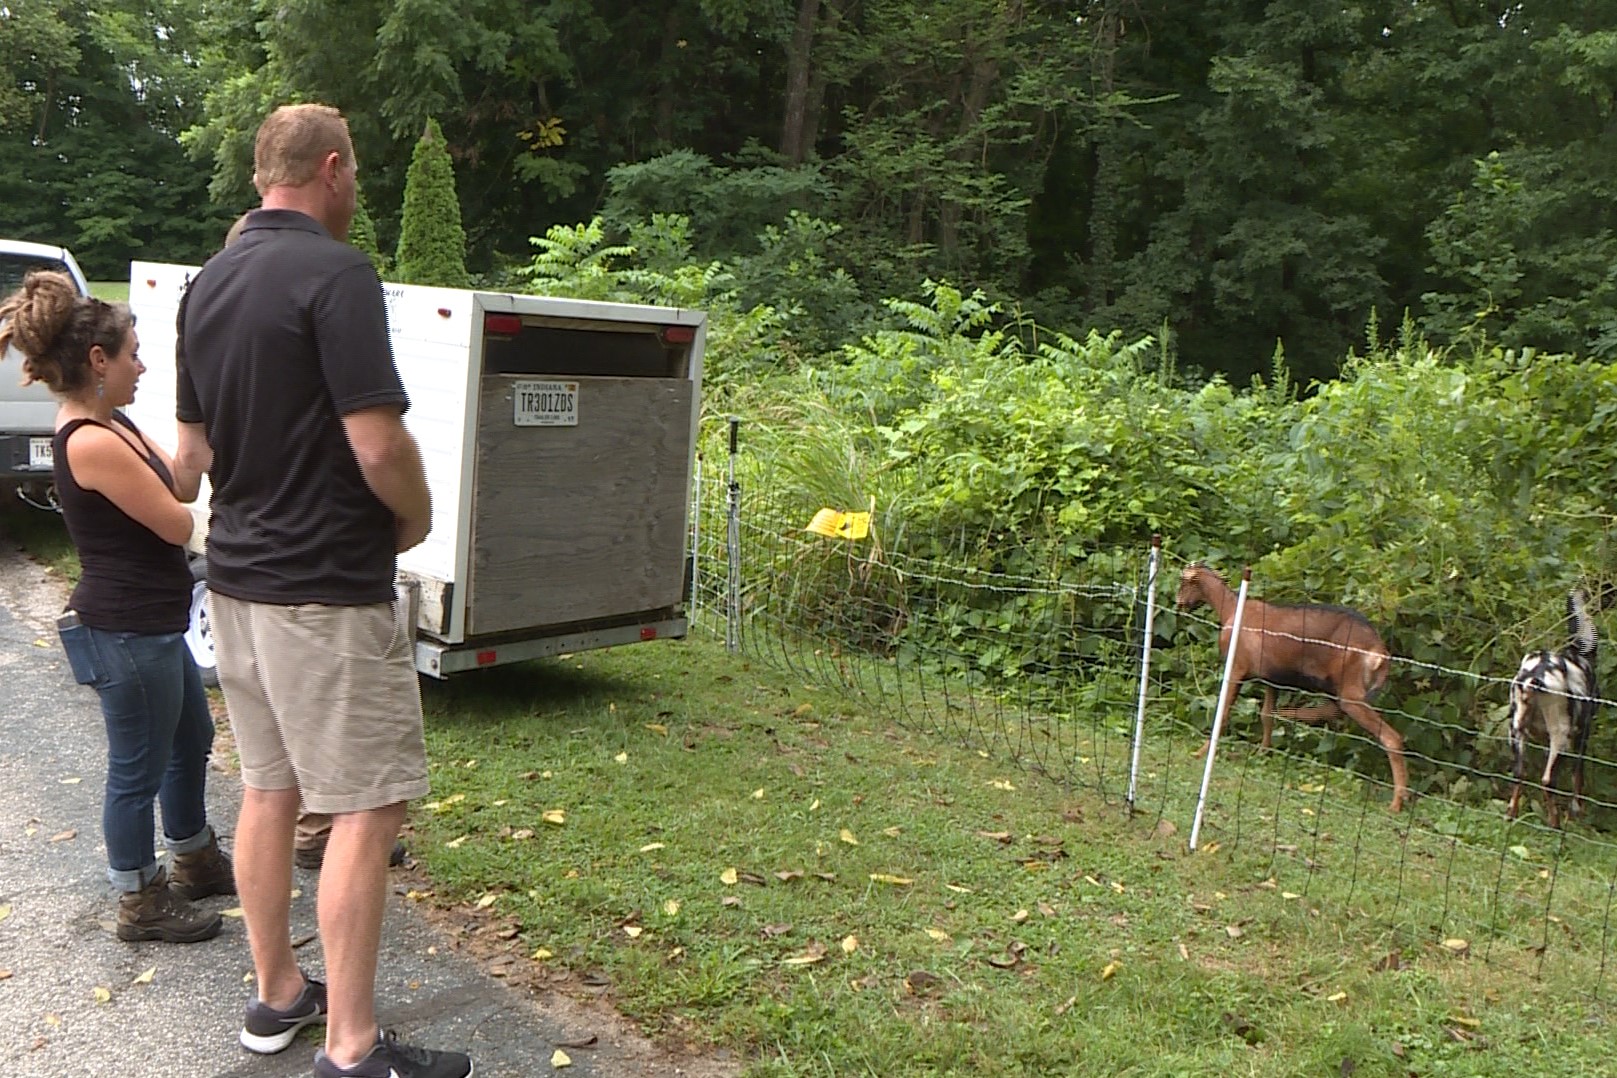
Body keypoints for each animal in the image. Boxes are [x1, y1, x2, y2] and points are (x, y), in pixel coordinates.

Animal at [1170, 565, 1410, 808]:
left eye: (1183, 581)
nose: (1178, 603)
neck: (1231, 609)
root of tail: (1380, 653)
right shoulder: (1271, 680)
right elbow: (1266, 715)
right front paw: (1263, 751)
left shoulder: (1236, 669)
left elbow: (1224, 713)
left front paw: (1200, 753)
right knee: (1332, 712)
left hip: (1349, 691)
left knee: (1389, 736)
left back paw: (1396, 803)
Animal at [1507, 591, 1597, 827]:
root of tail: (1535, 679)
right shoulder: (1581, 733)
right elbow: (1578, 772)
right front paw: (1576, 810)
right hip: (1560, 734)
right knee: (1548, 779)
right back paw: (1555, 823)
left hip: (1516, 729)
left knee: (1519, 772)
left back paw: (1510, 814)